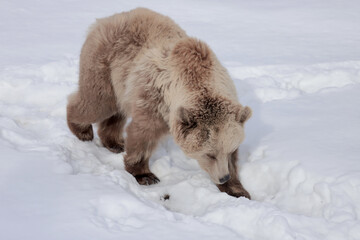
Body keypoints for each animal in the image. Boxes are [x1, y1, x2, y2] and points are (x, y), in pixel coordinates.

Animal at [68, 7, 253, 199]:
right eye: (209, 154)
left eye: (230, 150)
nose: (223, 177)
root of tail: (105, 20)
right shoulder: (153, 99)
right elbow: (143, 134)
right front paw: (145, 175)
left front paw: (237, 190)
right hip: (105, 67)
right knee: (97, 103)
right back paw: (82, 130)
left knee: (115, 112)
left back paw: (115, 142)